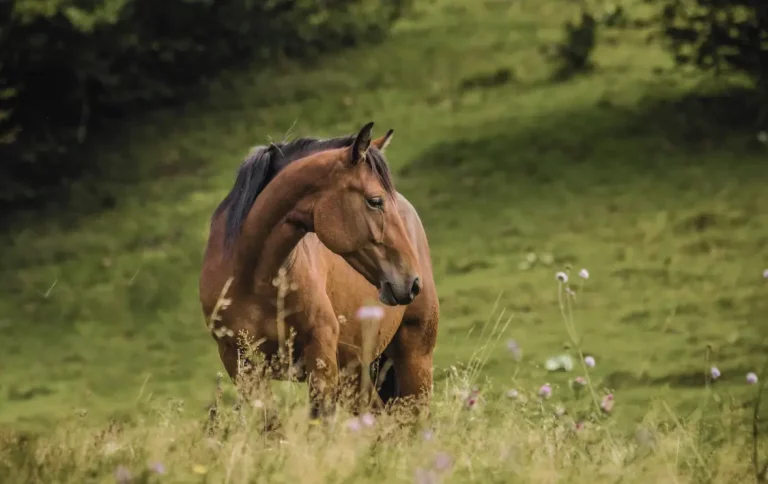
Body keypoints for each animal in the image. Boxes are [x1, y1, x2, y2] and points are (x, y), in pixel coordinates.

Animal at [199, 122, 439, 422]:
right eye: (375, 201)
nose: (411, 282)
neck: (254, 279)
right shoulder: (239, 362)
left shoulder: (321, 354)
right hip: (356, 372)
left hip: (414, 359)